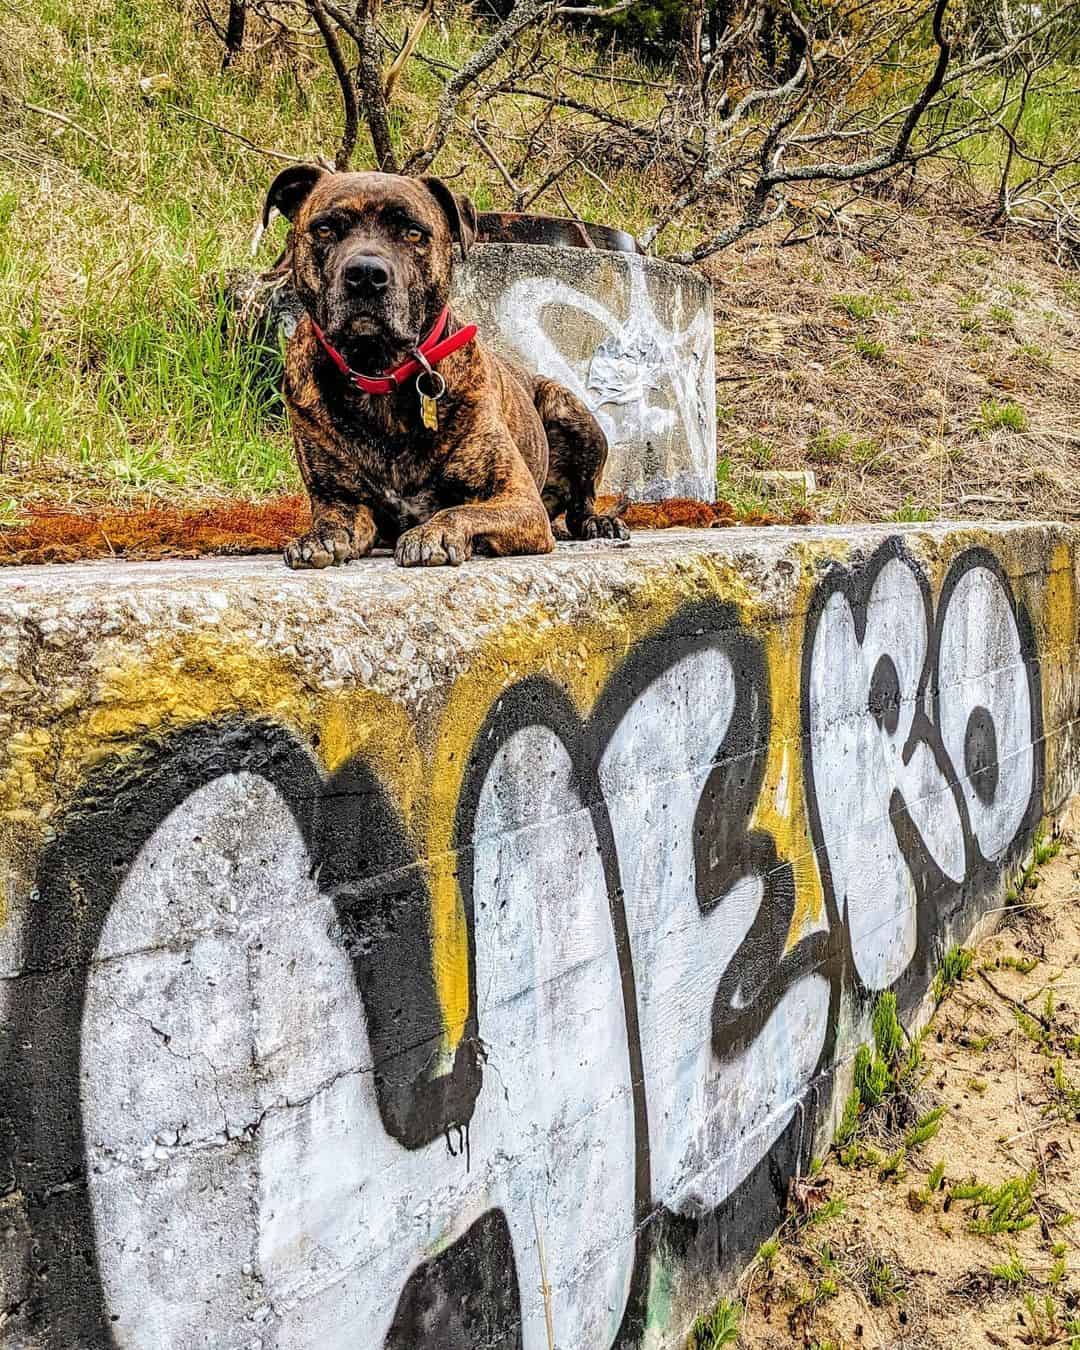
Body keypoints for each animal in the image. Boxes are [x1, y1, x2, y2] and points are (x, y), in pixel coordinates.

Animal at [263, 166, 629, 567]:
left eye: (412, 232)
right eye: (326, 228)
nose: (365, 273)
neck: (379, 370)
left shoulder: (518, 500)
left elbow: (460, 510)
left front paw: (432, 533)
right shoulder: (340, 500)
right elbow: (335, 519)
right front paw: (320, 537)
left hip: (570, 411)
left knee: (581, 505)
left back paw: (600, 523)